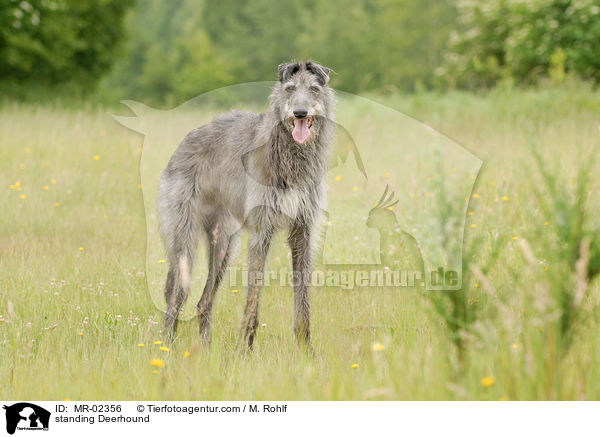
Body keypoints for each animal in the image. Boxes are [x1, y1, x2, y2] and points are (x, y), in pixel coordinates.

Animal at [159, 60, 336, 348]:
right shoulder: (261, 231)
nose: (300, 113)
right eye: (289, 88)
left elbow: (303, 298)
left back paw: (206, 350)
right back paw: (166, 347)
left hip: (224, 244)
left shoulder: (303, 231)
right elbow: (254, 294)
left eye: (314, 88)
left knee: (203, 302)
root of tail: (184, 143)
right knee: (175, 299)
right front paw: (246, 349)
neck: (291, 155)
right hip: (184, 238)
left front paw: (306, 349)